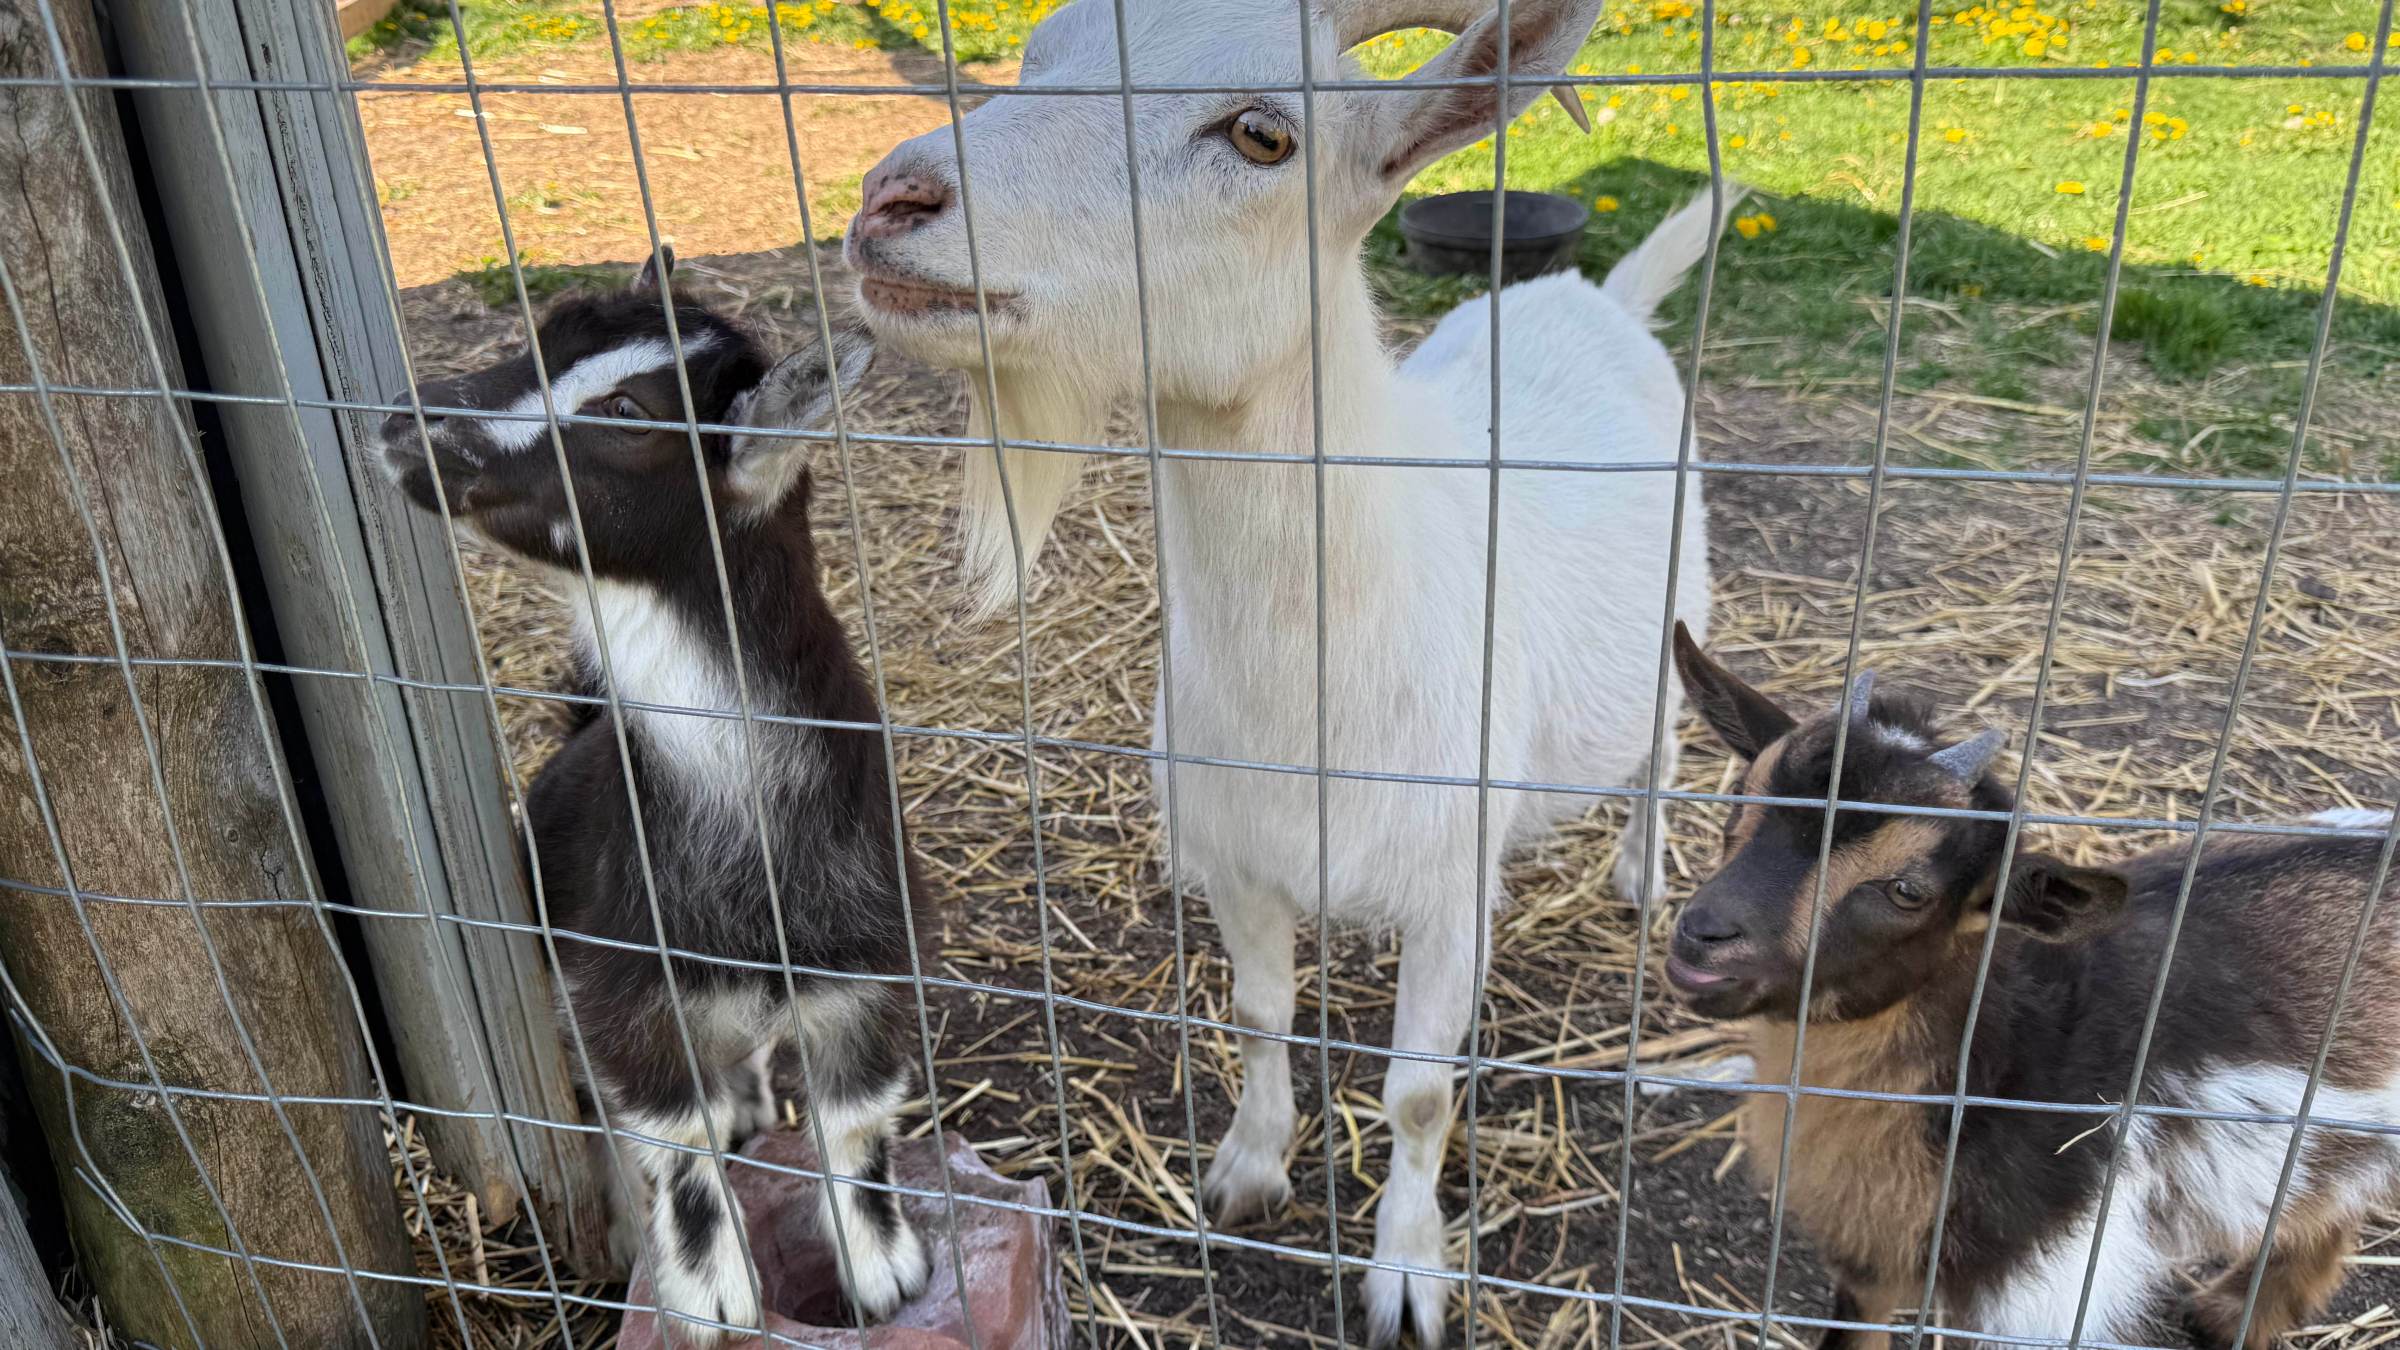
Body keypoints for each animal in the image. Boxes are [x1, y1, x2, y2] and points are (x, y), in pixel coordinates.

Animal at [378, 255, 929, 1346]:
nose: (402, 422)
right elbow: (675, 1133)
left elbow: (857, 1116)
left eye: (629, 413)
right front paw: (710, 1295)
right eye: (538, 339)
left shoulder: (868, 962)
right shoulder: (621, 980)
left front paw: (887, 1272)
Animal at [845, 1, 1721, 1340]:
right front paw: (1248, 1173)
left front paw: (1407, 1277)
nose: (894, 198)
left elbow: (1419, 1093)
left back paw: (1638, 872)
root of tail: (1593, 294)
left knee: (1664, 746)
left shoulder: (1449, 888)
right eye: (1036, 58)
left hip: (1679, 618)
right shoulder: (1236, 856)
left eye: (1264, 133)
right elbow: (1260, 1014)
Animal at [1666, 621, 2400, 1350]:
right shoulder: (1870, 1255)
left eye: (1907, 890)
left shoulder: (2045, 1289)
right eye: (1741, 798)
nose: (1702, 934)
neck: (2000, 1059)